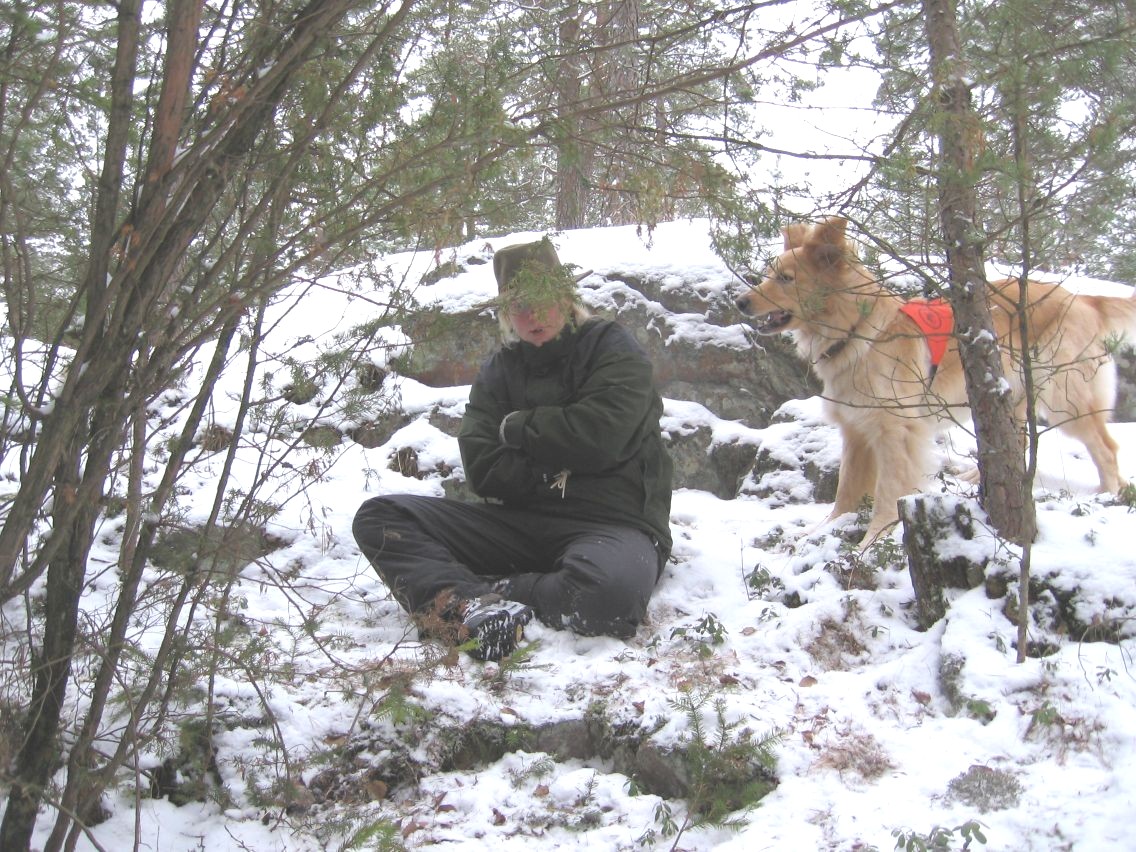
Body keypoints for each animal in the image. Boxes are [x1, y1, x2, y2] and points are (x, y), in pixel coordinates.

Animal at [736, 216, 1136, 543]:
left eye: (786, 279)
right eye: (770, 274)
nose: (740, 302)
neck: (858, 330)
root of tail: (1083, 298)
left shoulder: (896, 430)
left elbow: (887, 492)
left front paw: (872, 539)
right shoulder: (856, 429)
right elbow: (845, 492)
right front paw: (820, 532)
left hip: (1063, 396)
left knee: (1106, 448)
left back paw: (1106, 493)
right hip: (1010, 397)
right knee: (1017, 442)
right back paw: (978, 479)